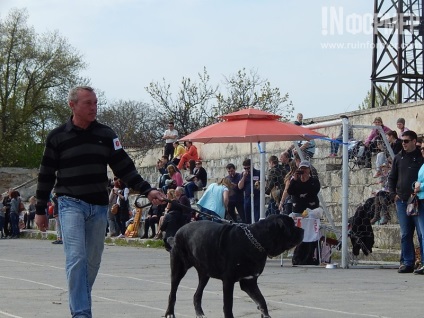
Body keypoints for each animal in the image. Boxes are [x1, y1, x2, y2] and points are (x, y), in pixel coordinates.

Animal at [164, 214, 304, 318]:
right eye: (291, 226)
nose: (302, 230)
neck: (257, 240)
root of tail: (177, 232)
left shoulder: (249, 281)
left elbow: (261, 300)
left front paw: (265, 315)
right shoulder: (228, 281)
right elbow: (228, 305)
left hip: (205, 272)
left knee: (197, 294)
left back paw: (200, 314)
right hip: (178, 269)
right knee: (172, 293)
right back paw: (170, 313)